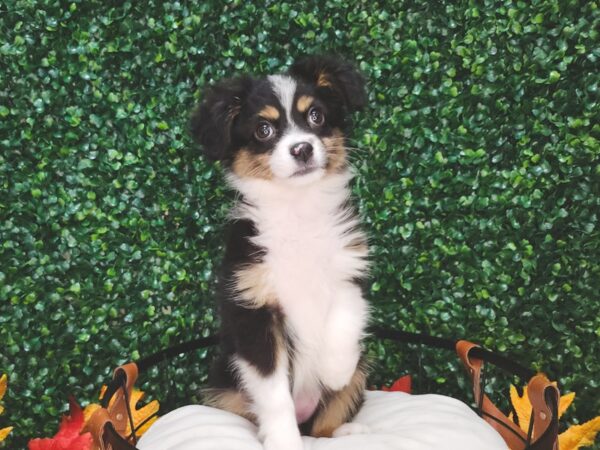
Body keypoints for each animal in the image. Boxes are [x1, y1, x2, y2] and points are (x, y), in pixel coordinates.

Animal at [192, 56, 370, 450]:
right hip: (223, 388)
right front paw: (284, 441)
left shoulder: (349, 269)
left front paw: (334, 370)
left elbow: (345, 318)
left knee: (325, 423)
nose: (302, 148)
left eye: (316, 116)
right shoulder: (253, 311)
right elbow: (274, 395)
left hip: (364, 368)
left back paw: (347, 431)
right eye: (263, 130)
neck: (297, 209)